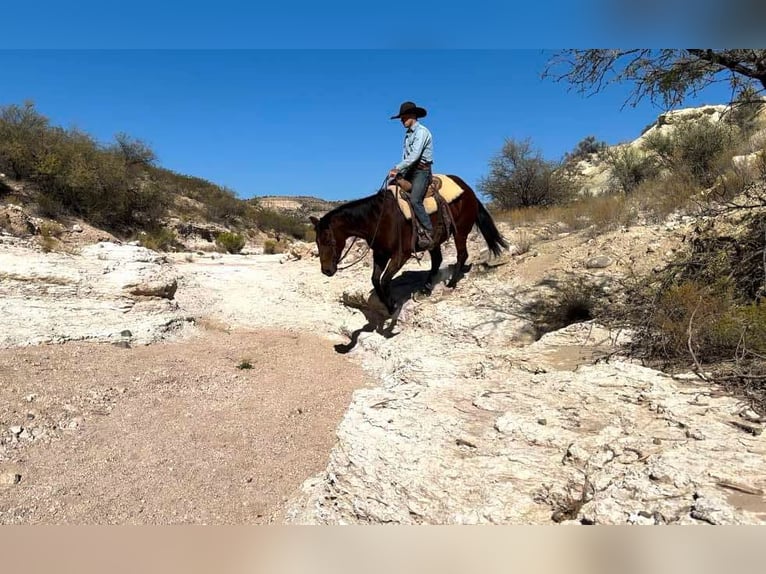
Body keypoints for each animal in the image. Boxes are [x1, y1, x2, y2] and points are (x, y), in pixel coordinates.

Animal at [309, 175, 508, 315]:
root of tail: (468, 190)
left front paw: (392, 305)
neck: (378, 218)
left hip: (460, 232)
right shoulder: (380, 254)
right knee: (437, 260)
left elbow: (385, 279)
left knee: (461, 255)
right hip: (434, 241)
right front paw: (389, 305)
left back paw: (451, 284)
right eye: (317, 242)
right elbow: (376, 280)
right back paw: (426, 288)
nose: (326, 271)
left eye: (329, 240)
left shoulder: (401, 255)